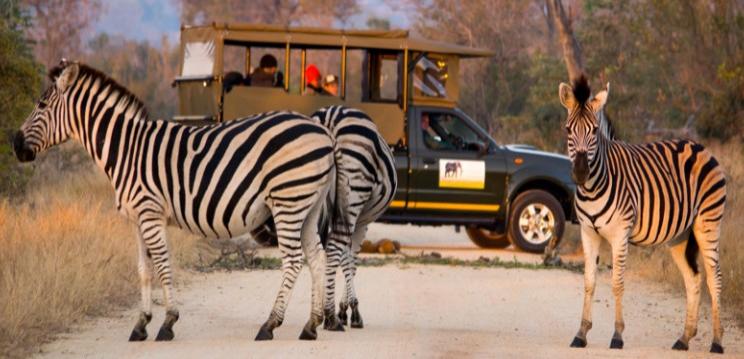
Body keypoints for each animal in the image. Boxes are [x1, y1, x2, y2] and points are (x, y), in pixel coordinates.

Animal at [12, 61, 334, 344]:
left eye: (41, 106)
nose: (14, 144)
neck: (126, 150)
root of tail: (323, 132)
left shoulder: (150, 213)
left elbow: (163, 265)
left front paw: (167, 323)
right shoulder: (136, 219)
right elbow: (143, 269)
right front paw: (141, 325)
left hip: (287, 202)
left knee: (294, 260)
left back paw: (270, 324)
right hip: (308, 206)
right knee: (317, 256)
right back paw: (311, 325)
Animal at [308, 106, 398, 332]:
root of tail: (331, 115)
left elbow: (345, 257)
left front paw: (342, 309)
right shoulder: (361, 222)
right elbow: (351, 259)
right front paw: (350, 311)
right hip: (354, 192)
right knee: (333, 250)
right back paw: (330, 317)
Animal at [560, 76, 728, 354]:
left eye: (594, 130)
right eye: (567, 129)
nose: (581, 173)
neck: (594, 186)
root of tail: (698, 146)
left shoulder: (620, 234)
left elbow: (617, 283)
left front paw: (617, 336)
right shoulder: (588, 232)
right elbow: (589, 282)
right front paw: (581, 334)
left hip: (708, 223)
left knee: (715, 279)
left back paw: (716, 342)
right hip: (680, 235)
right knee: (693, 279)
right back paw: (684, 339)